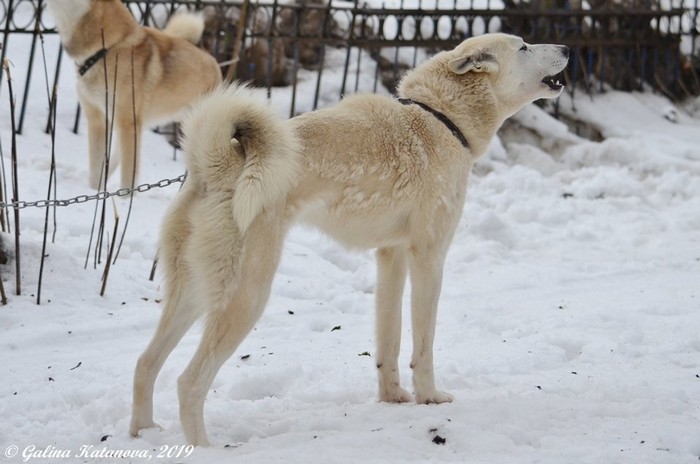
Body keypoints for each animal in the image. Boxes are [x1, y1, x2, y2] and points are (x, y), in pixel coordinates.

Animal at [46, 0, 222, 190]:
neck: (108, 47)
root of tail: (215, 64)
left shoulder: (127, 122)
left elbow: (128, 179)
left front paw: (126, 196)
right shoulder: (98, 119)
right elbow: (95, 170)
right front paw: (94, 192)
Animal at [130, 33, 569, 446]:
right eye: (523, 46)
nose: (567, 48)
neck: (442, 119)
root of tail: (216, 166)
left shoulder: (391, 257)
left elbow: (389, 340)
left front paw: (393, 398)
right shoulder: (428, 257)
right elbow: (423, 343)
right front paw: (429, 397)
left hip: (192, 295)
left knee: (145, 364)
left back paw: (143, 433)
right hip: (246, 297)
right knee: (189, 382)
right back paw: (205, 446)